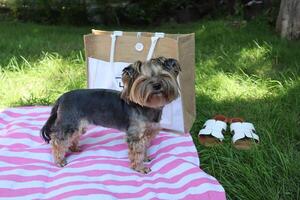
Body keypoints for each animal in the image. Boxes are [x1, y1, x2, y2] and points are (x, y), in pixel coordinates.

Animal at [39, 56, 180, 173]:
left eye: (163, 76)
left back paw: (74, 148)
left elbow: (144, 147)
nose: (157, 85)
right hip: (69, 122)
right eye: (144, 79)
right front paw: (140, 167)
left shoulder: (147, 132)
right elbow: (137, 152)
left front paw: (145, 158)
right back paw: (59, 160)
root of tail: (61, 98)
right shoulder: (135, 134)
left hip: (77, 125)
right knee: (58, 140)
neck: (147, 106)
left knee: (72, 137)